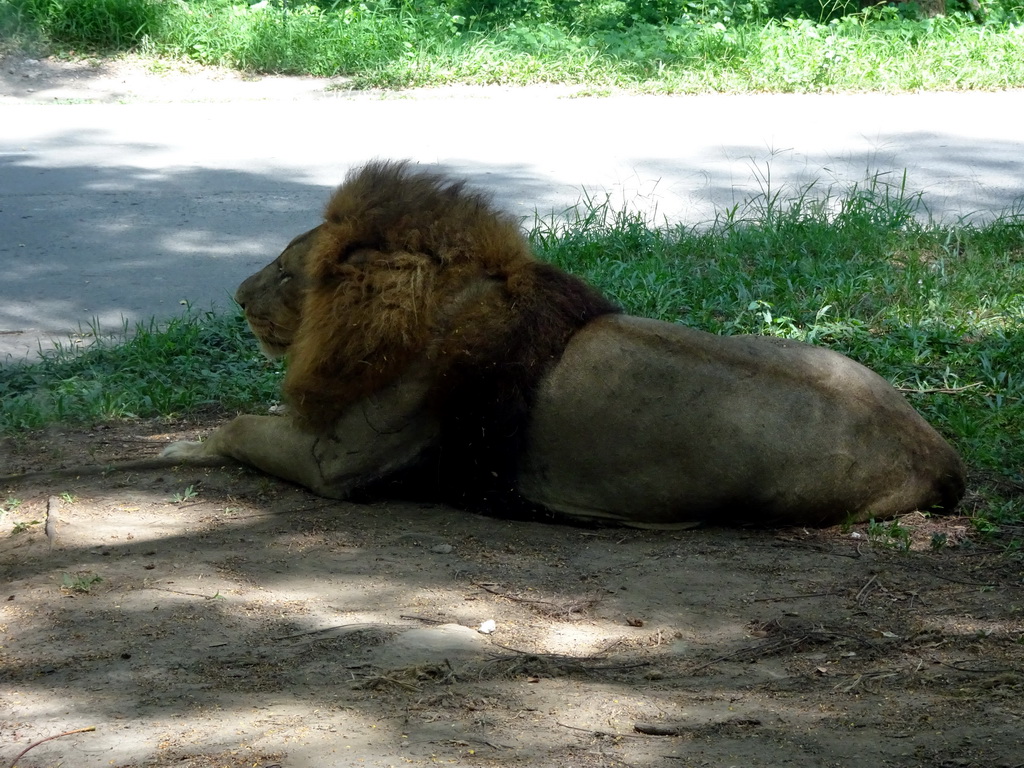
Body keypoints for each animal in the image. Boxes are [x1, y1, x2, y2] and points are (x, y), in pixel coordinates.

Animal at [161, 158, 966, 528]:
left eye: (285, 272)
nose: (238, 298)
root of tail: (939, 453)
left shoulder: (342, 465)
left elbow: (240, 427)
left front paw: (178, 446)